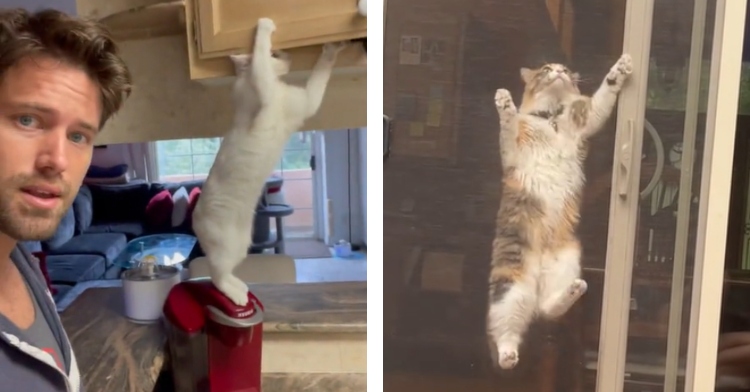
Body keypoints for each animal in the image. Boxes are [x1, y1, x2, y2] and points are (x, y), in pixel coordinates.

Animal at [191, 17, 350, 306]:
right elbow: (260, 60)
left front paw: (332, 49)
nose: (287, 56)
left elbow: (321, 72)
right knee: (216, 275)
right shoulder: (264, 92)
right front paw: (264, 27)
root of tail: (194, 218)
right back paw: (237, 296)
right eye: (275, 53)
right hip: (228, 247)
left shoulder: (307, 101)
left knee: (225, 272)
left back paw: (242, 288)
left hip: (241, 244)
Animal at [488, 54, 636, 370]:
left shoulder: (588, 119)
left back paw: (572, 291)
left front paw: (620, 68)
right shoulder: (512, 153)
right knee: (507, 328)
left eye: (565, 70)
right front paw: (504, 103)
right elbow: (509, 125)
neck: (551, 118)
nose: (557, 71)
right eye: (545, 70)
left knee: (547, 308)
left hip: (567, 260)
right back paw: (507, 355)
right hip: (511, 283)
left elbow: (606, 92)